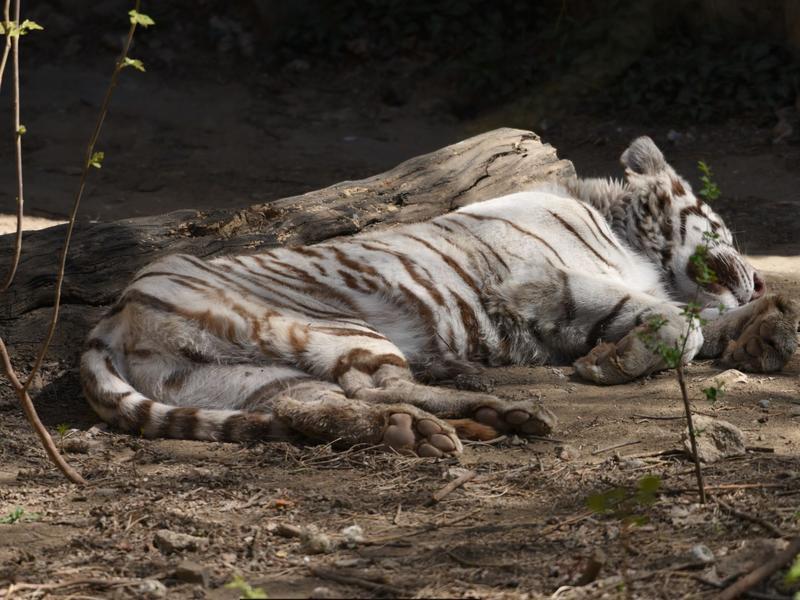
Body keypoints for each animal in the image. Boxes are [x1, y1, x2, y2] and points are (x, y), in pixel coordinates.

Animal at [81, 137, 800, 454]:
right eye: (722, 226)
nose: (764, 276)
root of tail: (116, 313)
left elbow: (702, 320)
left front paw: (764, 331)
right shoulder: (548, 279)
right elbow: (680, 323)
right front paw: (613, 363)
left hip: (245, 378)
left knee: (317, 407)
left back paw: (458, 422)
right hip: (322, 325)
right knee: (370, 386)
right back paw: (479, 412)